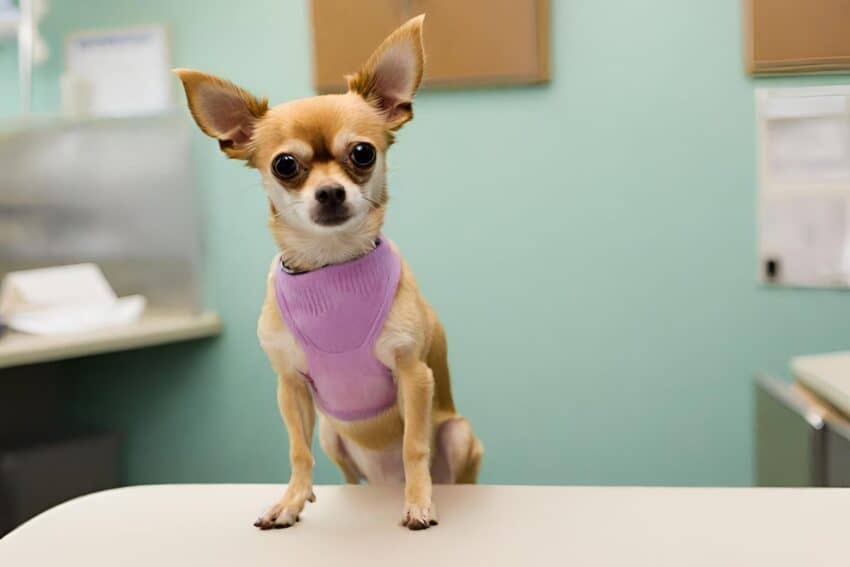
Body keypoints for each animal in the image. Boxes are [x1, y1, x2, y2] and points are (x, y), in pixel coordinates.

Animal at [176, 15, 480, 532]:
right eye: (284, 165)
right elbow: (298, 452)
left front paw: (419, 503)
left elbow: (414, 446)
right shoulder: (291, 386)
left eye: (362, 154)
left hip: (459, 434)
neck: (331, 264)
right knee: (345, 474)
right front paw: (290, 502)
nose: (331, 192)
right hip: (334, 437)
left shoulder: (414, 375)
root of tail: (382, 479)